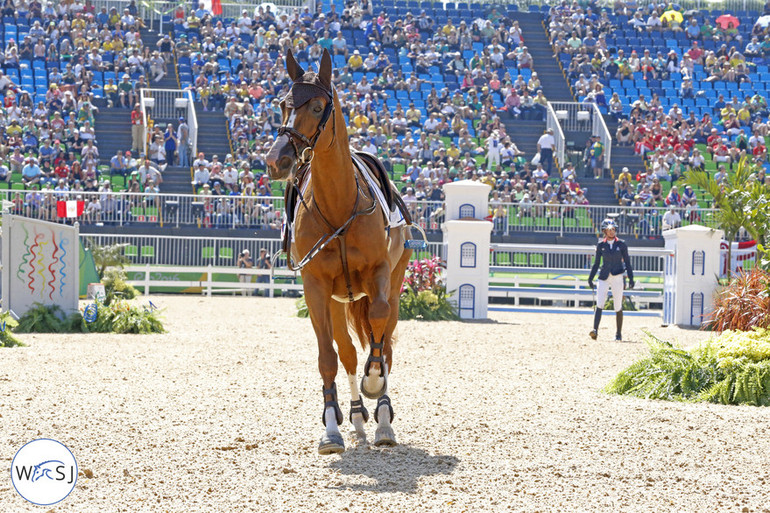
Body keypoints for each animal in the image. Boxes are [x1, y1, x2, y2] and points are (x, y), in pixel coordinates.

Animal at [266, 50, 414, 454]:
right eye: (283, 105)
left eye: (318, 107)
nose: (276, 160)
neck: (338, 206)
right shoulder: (315, 287)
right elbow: (328, 357)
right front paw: (331, 428)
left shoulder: (379, 275)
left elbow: (378, 328)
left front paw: (375, 383)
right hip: (337, 299)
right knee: (347, 352)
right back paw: (359, 417)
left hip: (394, 284)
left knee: (385, 340)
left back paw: (382, 419)